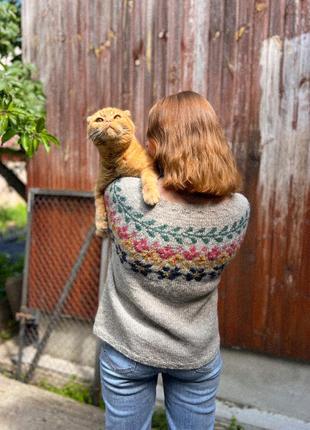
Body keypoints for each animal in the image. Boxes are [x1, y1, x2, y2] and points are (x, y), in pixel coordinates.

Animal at [87, 106, 160, 237]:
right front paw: (100, 226)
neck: (115, 159)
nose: (108, 120)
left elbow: (147, 179)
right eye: (99, 119)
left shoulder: (148, 167)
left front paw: (151, 196)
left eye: (116, 116)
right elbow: (98, 205)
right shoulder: (99, 186)